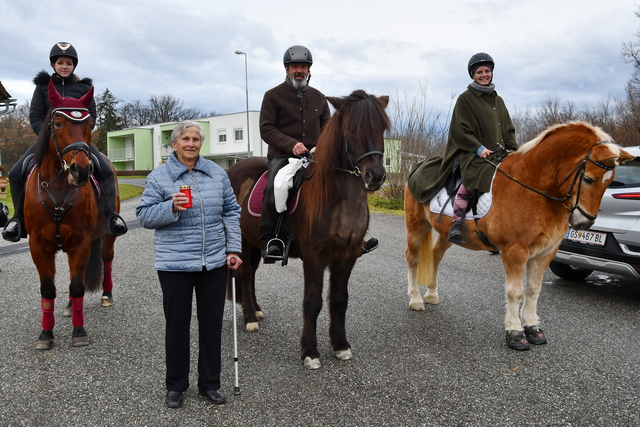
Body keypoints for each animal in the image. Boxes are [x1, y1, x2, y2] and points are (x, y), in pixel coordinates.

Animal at [24, 81, 122, 352]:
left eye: (90, 125)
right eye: (57, 123)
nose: (81, 170)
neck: (58, 189)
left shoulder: (81, 242)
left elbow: (77, 286)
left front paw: (79, 332)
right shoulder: (38, 245)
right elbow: (48, 290)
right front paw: (46, 334)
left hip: (107, 236)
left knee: (107, 259)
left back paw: (106, 296)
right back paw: (68, 306)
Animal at [228, 91, 392, 372]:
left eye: (381, 128)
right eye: (351, 130)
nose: (376, 176)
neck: (339, 199)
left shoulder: (347, 255)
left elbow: (339, 299)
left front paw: (341, 345)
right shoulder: (314, 255)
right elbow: (313, 302)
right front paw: (310, 352)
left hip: (255, 243)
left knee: (250, 275)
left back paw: (256, 310)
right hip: (242, 242)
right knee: (244, 272)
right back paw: (250, 318)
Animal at [402, 120, 632, 352]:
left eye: (610, 181)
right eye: (588, 179)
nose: (584, 223)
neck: (535, 187)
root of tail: (418, 166)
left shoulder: (544, 253)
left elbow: (533, 290)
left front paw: (533, 328)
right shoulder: (515, 251)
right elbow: (515, 292)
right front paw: (514, 332)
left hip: (445, 233)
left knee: (436, 255)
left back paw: (432, 294)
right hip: (416, 226)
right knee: (413, 259)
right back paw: (416, 299)